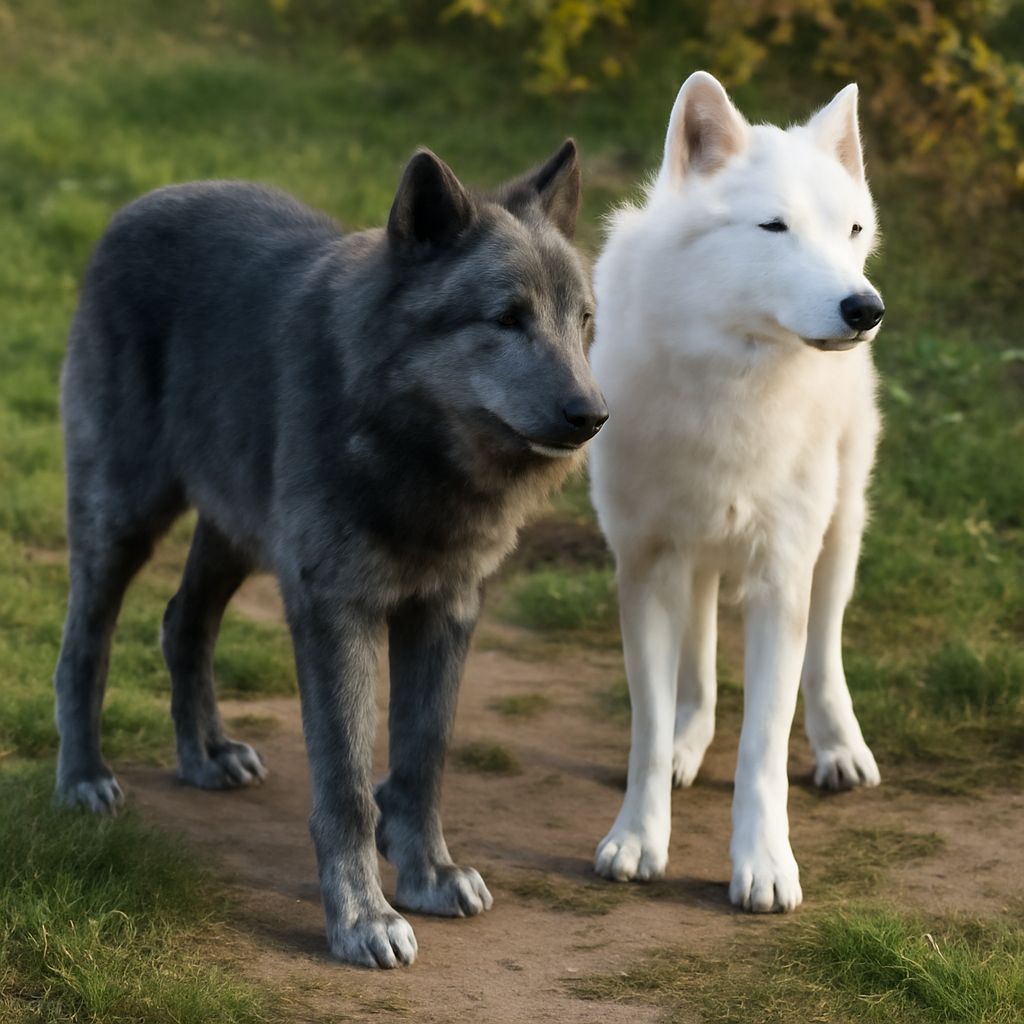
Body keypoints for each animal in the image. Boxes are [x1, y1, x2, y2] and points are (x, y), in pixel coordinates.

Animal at [53, 141, 607, 967]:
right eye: (507, 318)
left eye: (583, 320)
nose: (592, 415)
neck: (414, 452)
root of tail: (140, 203)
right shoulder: (337, 612)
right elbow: (345, 786)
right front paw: (363, 919)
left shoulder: (446, 613)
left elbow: (422, 758)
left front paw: (428, 874)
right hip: (123, 519)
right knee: (84, 648)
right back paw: (85, 777)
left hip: (235, 535)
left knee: (184, 622)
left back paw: (206, 756)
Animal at [589, 72, 884, 912]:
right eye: (775, 228)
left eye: (851, 230)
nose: (865, 309)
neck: (732, 379)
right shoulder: (646, 568)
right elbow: (648, 730)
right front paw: (637, 840)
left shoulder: (781, 578)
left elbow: (762, 749)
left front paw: (763, 868)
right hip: (695, 562)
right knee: (697, 666)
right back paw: (690, 745)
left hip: (838, 537)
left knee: (826, 652)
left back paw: (840, 750)